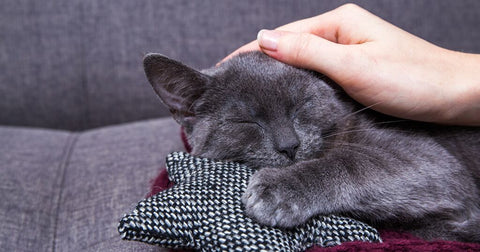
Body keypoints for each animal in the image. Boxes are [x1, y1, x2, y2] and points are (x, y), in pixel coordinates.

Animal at [144, 50, 480, 242]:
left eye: (303, 104)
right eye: (245, 121)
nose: (289, 145)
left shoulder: (432, 159)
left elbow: (355, 162)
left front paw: (279, 190)